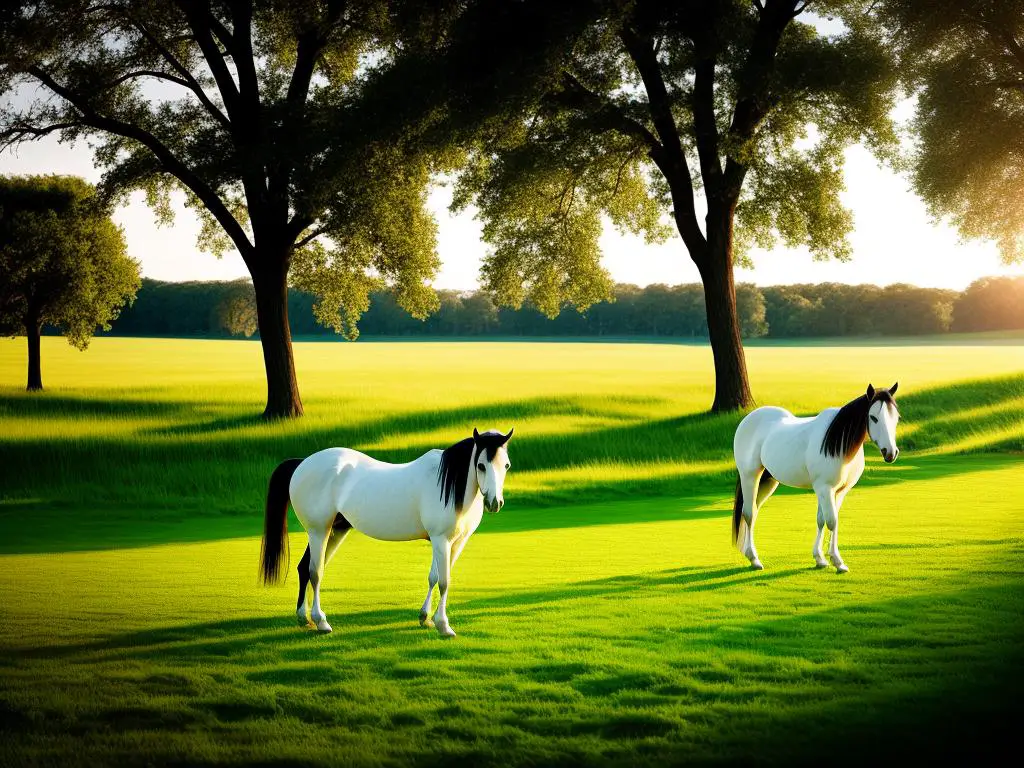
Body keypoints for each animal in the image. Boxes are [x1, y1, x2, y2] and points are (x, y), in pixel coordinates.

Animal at [256, 428, 512, 638]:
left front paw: (425, 618)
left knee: (304, 568)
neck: (448, 484)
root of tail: (302, 463)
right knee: (315, 572)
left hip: (334, 531)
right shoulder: (441, 540)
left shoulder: (455, 542)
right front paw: (444, 626)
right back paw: (321, 622)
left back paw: (303, 618)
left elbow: (433, 577)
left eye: (506, 465)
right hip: (318, 530)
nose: (495, 502)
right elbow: (444, 581)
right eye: (481, 465)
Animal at [733, 382, 901, 573]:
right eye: (873, 417)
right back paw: (754, 559)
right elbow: (832, 521)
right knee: (749, 513)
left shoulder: (838, 491)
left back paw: (749, 554)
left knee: (754, 511)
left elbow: (823, 520)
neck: (839, 445)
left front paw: (820, 559)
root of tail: (748, 420)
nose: (890, 453)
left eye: (897, 417)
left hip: (768, 481)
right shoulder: (824, 488)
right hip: (749, 476)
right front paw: (837, 561)